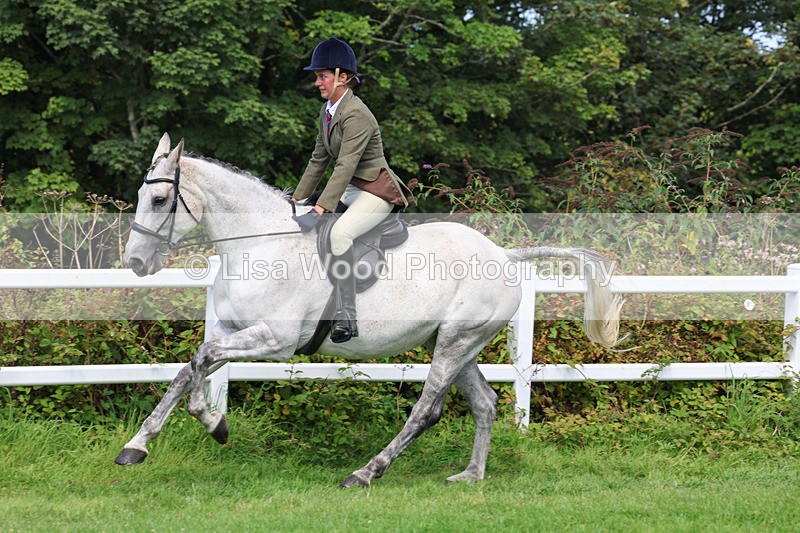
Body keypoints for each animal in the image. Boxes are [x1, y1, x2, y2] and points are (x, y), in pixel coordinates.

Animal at [116, 133, 624, 488]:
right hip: (458, 343)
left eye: (159, 199)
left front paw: (180, 434)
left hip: (456, 340)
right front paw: (172, 435)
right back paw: (471, 476)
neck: (260, 243)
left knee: (426, 410)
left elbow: (198, 362)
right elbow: (191, 368)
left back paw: (365, 472)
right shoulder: (230, 328)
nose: (135, 263)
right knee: (485, 402)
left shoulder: (274, 340)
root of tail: (502, 254)